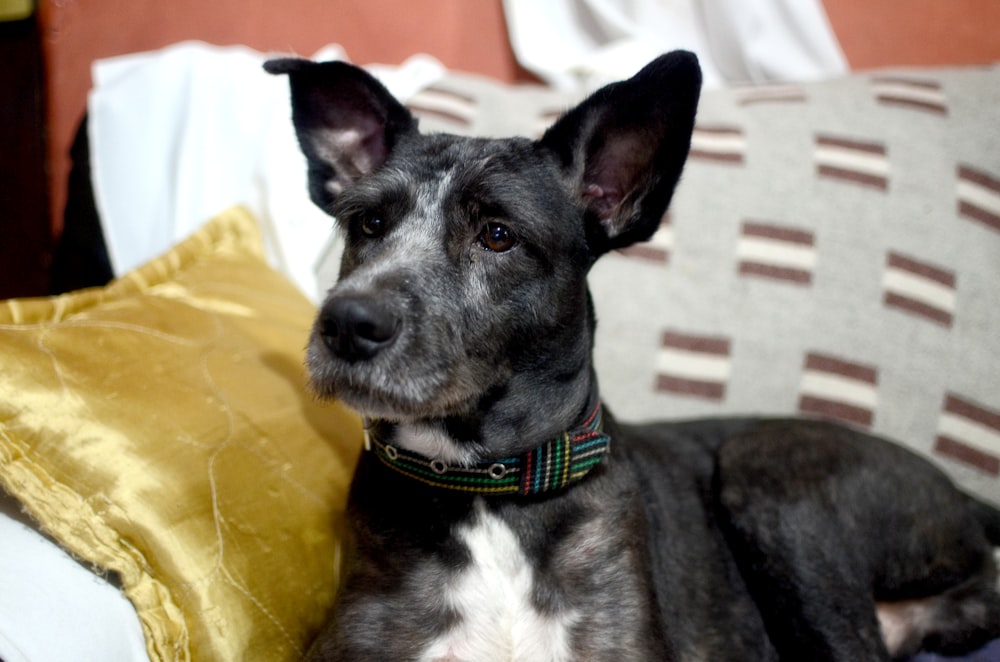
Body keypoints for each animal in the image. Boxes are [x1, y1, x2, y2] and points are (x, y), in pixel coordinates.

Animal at [266, 52, 1000, 662]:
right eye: (368, 223)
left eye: (498, 235)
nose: (347, 324)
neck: (488, 494)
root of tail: (964, 497)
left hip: (769, 475)